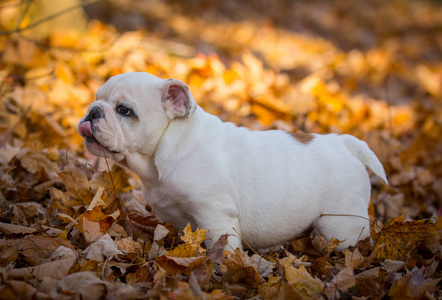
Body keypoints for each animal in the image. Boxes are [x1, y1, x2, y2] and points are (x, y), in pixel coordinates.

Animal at [78, 72, 386, 251]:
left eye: (124, 110)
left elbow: (223, 248)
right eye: (96, 98)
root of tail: (346, 144)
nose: (92, 111)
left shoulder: (216, 216)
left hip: (340, 225)